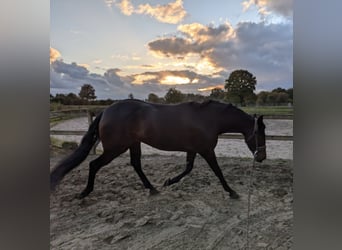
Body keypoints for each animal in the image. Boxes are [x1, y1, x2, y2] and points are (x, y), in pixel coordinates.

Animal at [49, 99, 266, 199]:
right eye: (261, 133)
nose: (262, 157)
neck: (209, 119)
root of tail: (106, 111)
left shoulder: (193, 149)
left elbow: (188, 168)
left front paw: (168, 182)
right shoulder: (206, 151)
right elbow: (218, 172)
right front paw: (233, 192)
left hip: (132, 144)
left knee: (136, 164)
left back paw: (152, 188)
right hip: (115, 148)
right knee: (94, 165)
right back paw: (85, 192)